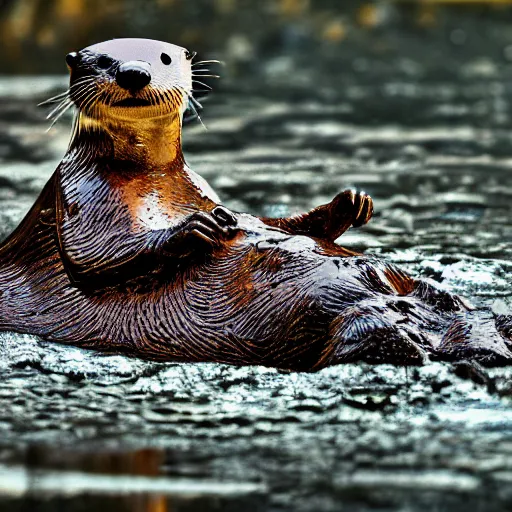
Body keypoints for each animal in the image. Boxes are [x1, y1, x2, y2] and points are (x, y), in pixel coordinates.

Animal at [0, 38, 508, 370]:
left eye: (162, 57)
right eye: (103, 60)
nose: (134, 71)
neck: (150, 180)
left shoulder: (201, 187)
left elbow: (267, 221)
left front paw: (348, 204)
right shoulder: (76, 192)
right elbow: (94, 258)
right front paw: (197, 229)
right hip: (345, 327)